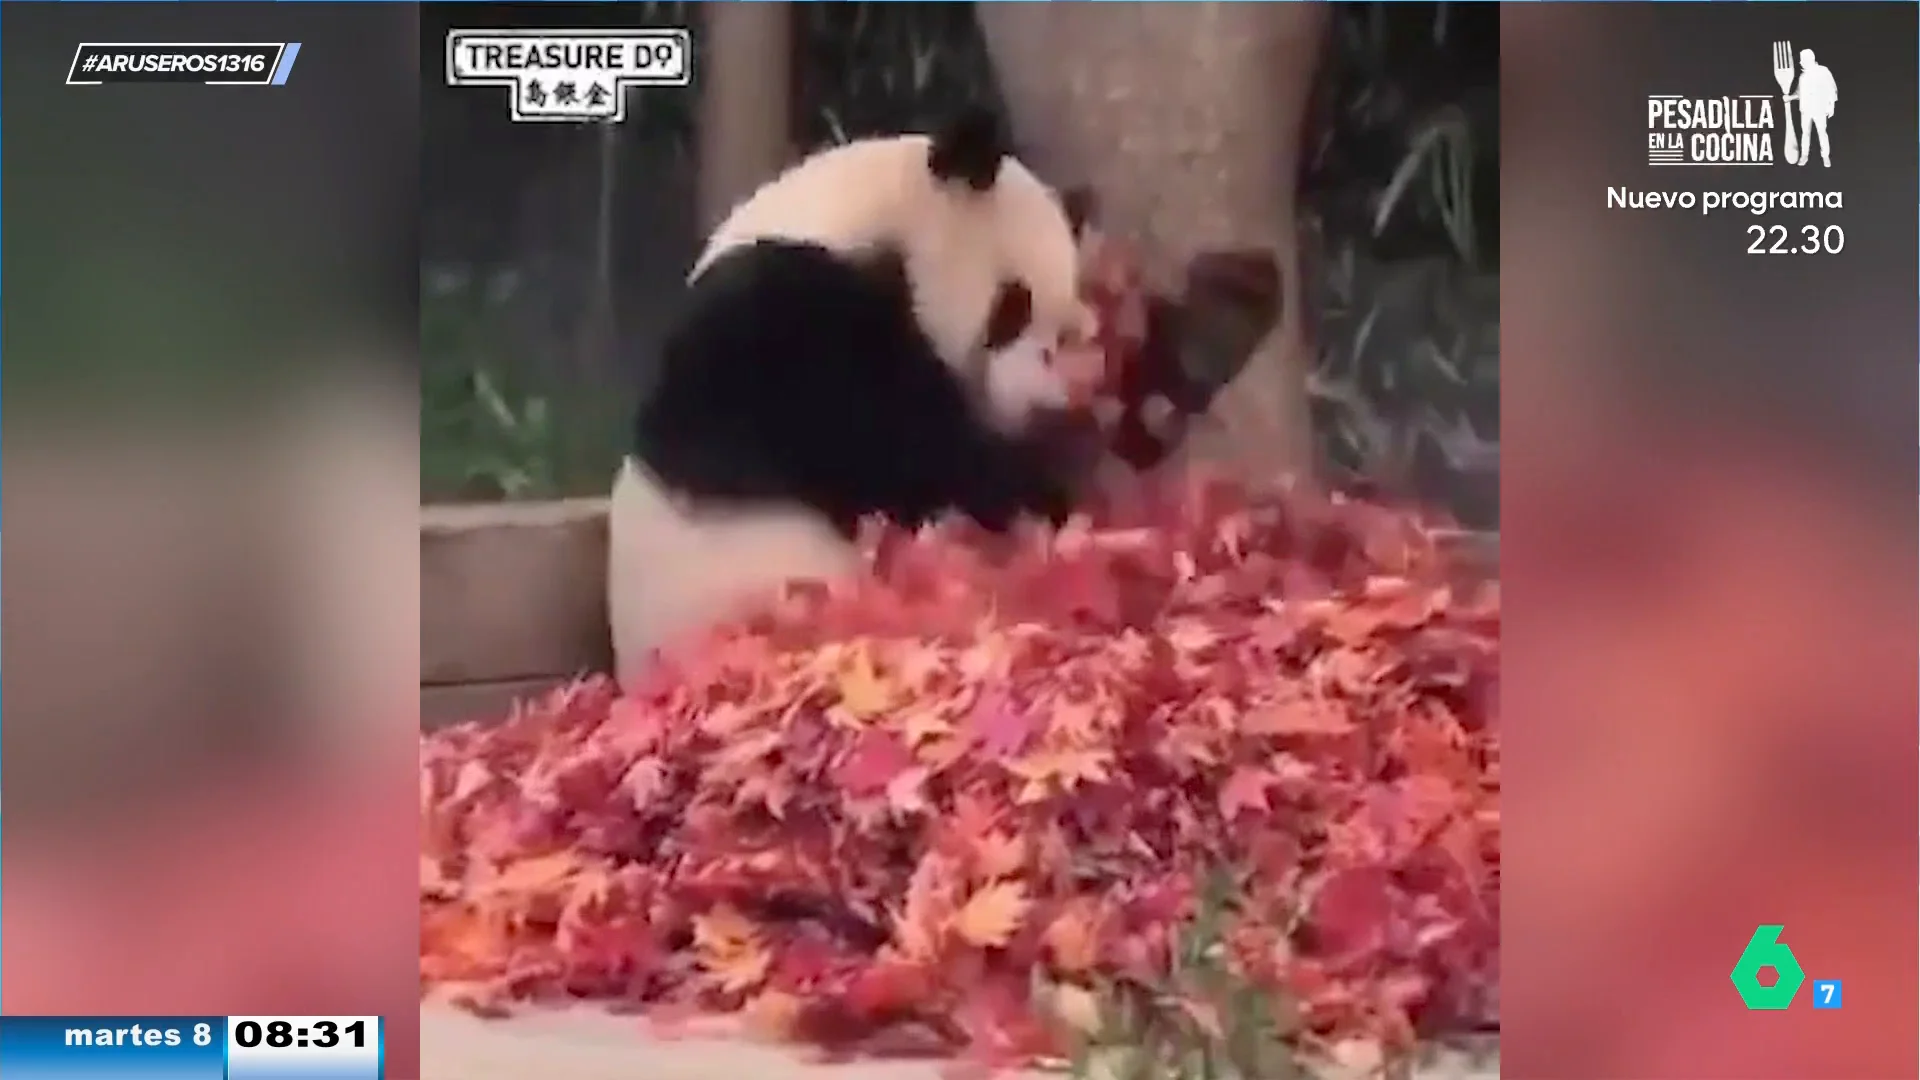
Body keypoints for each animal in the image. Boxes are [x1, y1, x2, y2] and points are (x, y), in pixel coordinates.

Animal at [606, 107, 1105, 680]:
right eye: (1012, 307)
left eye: (1062, 333)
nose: (1031, 405)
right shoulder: (783, 309)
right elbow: (865, 440)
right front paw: (1028, 493)